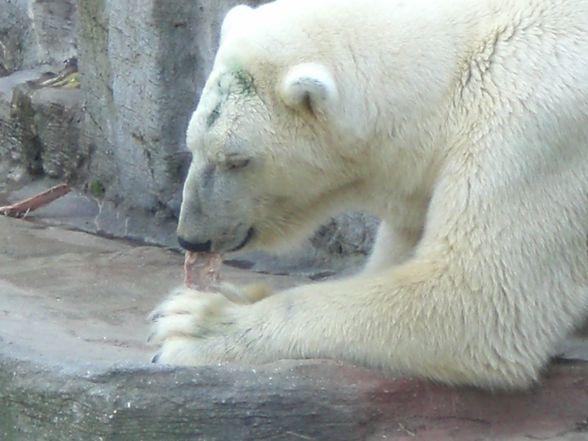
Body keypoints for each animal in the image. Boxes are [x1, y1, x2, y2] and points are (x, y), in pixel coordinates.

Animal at [150, 0, 588, 386]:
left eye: (237, 159)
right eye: (192, 145)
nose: (192, 237)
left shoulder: (535, 128)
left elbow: (475, 299)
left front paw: (192, 324)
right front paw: (232, 295)